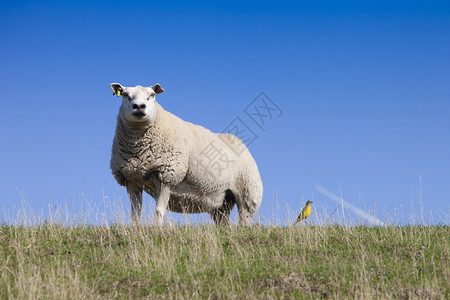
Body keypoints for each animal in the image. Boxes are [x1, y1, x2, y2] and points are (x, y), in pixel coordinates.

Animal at [110, 82, 264, 225]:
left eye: (152, 95)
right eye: (124, 94)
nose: (139, 107)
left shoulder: (167, 175)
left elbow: (159, 210)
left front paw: (158, 229)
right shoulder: (131, 180)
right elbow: (135, 214)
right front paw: (136, 229)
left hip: (248, 192)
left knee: (244, 218)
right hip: (223, 201)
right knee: (223, 221)